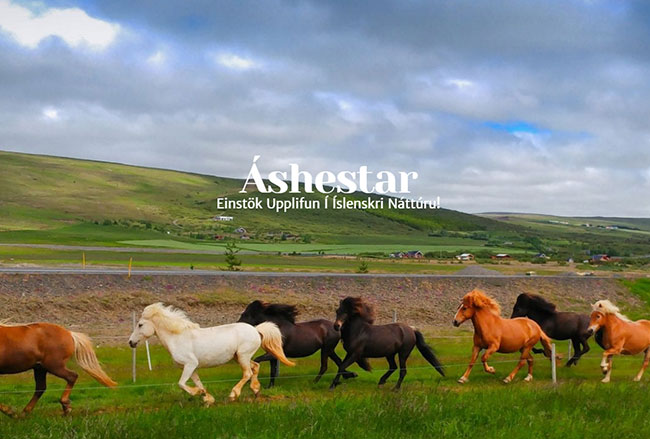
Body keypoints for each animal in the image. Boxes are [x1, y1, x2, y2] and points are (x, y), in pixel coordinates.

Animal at [127, 306, 294, 406]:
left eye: (140, 325)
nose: (131, 342)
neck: (178, 338)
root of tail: (256, 329)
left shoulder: (190, 364)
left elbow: (181, 383)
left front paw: (199, 394)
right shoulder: (192, 368)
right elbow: (197, 382)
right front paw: (207, 398)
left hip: (243, 355)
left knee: (247, 373)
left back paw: (234, 394)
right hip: (239, 357)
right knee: (255, 367)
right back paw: (256, 390)